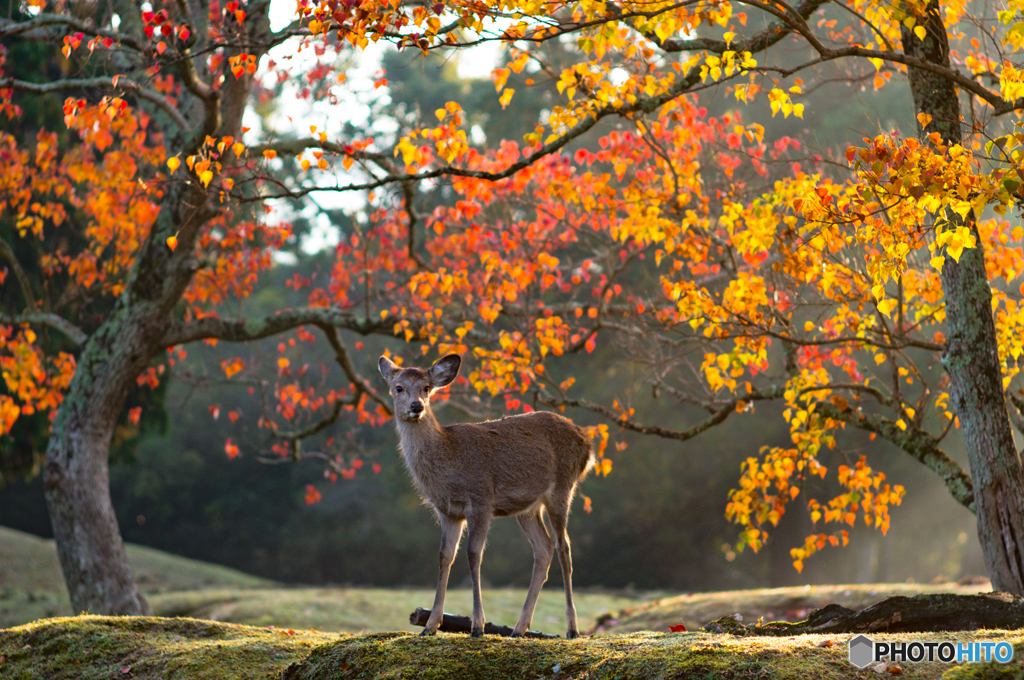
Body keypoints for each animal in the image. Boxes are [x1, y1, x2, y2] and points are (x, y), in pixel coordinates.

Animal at [380, 352, 598, 639]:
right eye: (398, 387)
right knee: (544, 548)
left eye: (426, 388)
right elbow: (444, 556)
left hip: (562, 487)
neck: (447, 459)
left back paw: (572, 628)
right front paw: (430, 625)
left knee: (564, 547)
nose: (417, 406)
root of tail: (588, 442)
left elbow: (473, 554)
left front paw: (477, 626)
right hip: (528, 507)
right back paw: (519, 628)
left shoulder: (481, 499)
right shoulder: (447, 511)